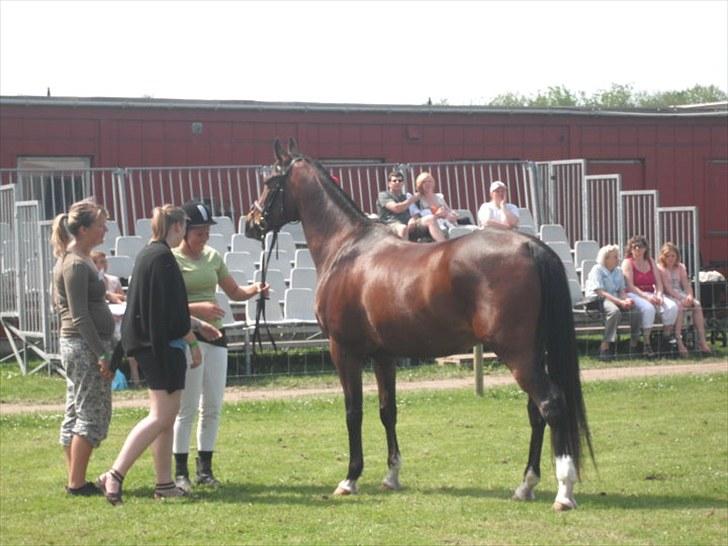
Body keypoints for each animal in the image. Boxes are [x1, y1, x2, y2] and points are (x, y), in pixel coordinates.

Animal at [245, 138, 592, 508]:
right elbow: (388, 410)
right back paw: (526, 485)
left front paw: (350, 478)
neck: (347, 248)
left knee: (550, 404)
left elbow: (354, 412)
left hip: (518, 354)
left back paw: (563, 492)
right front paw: (391, 476)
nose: (250, 222)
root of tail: (530, 245)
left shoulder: (344, 350)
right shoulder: (383, 355)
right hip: (532, 353)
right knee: (535, 411)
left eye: (269, 182)